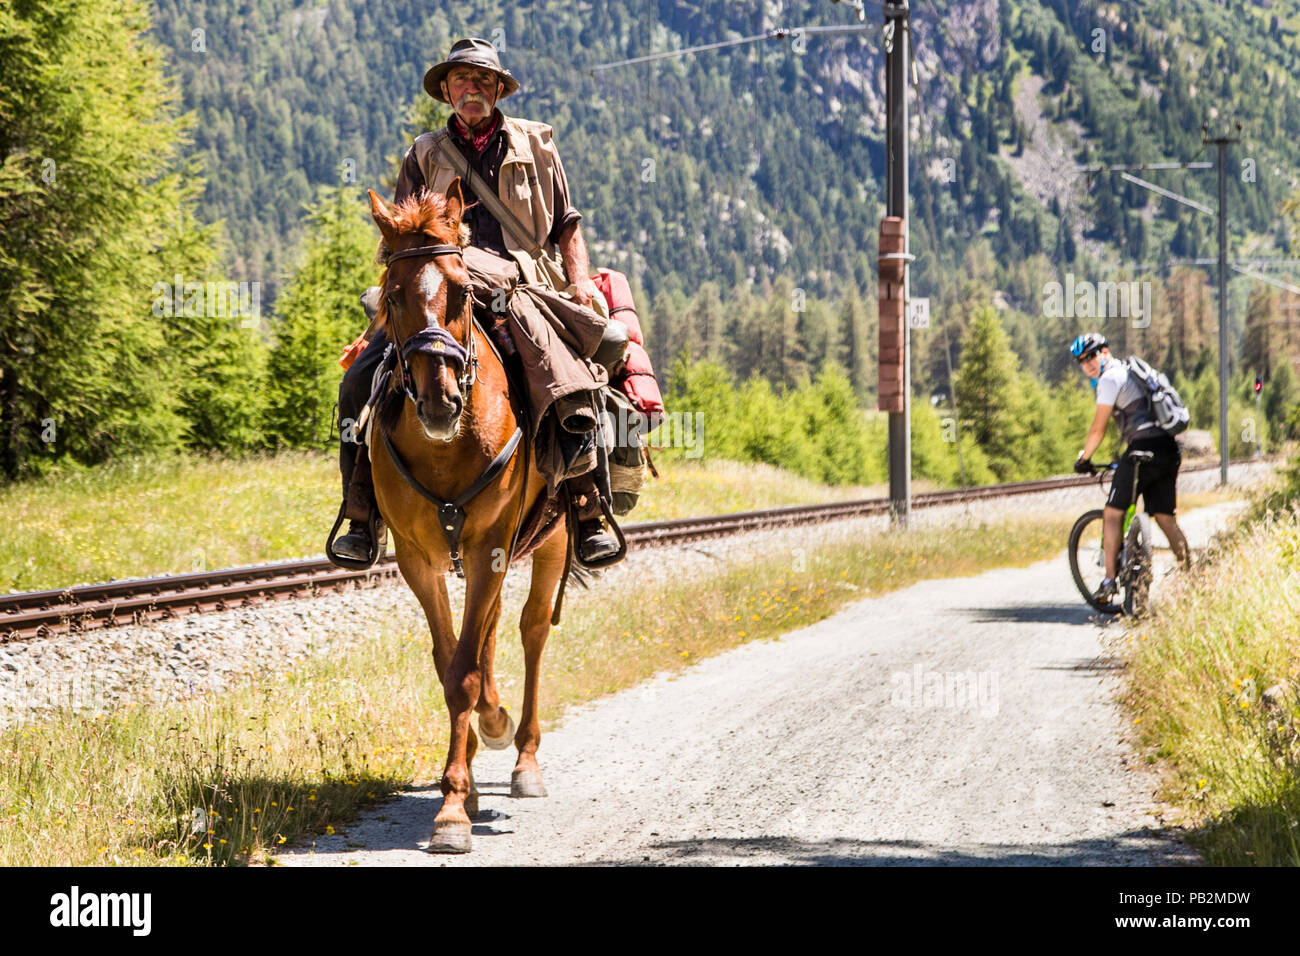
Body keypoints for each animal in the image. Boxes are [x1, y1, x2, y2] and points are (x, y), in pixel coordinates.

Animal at [369, 183, 566, 858]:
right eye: (392, 295)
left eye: (461, 293)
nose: (439, 402)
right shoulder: (417, 560)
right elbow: (451, 662)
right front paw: (463, 789)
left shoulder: (488, 549)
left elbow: (464, 673)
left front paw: (454, 807)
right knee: (490, 633)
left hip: (551, 540)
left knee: (532, 631)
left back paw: (524, 754)